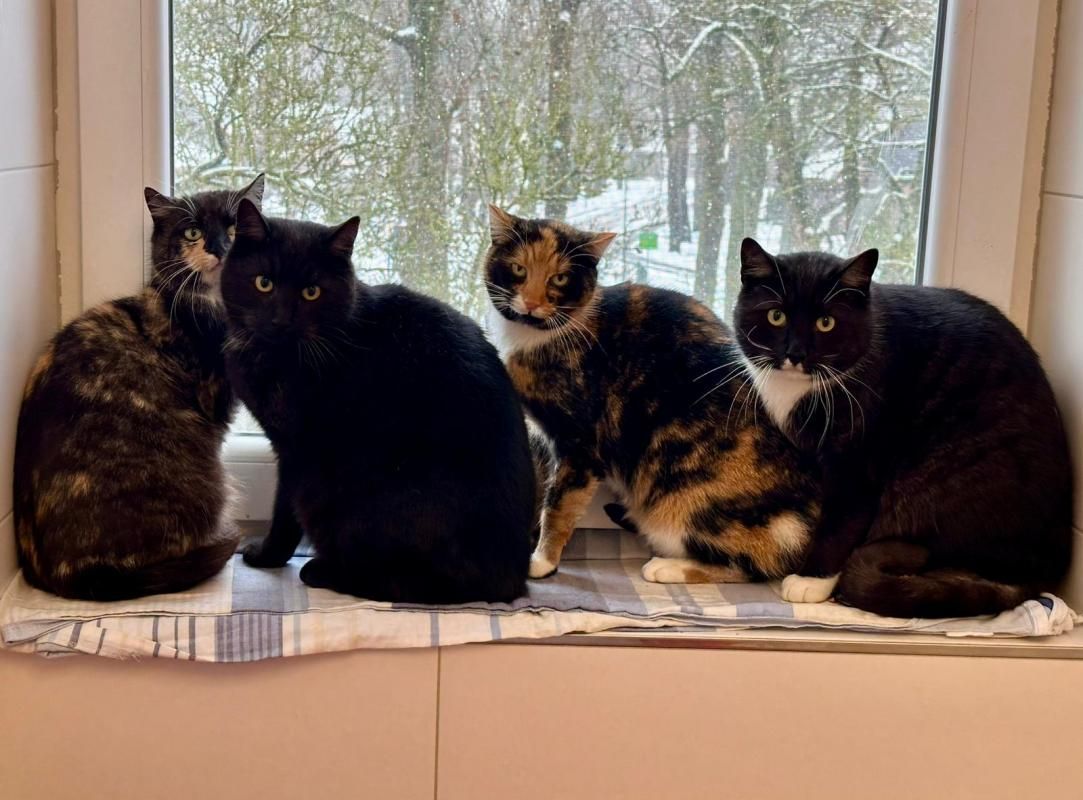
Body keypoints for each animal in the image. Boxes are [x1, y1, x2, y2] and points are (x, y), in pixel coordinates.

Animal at [222, 199, 534, 603]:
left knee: (404, 581)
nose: (281, 321)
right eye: (264, 283)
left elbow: (283, 511)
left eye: (311, 292)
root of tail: (512, 579)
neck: (276, 357)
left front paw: (267, 555)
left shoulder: (295, 449)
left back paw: (322, 571)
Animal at [484, 206, 820, 584]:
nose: (531, 302)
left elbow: (559, 504)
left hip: (683, 501)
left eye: (559, 279)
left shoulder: (580, 444)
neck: (537, 336)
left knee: (754, 566)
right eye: (518, 269)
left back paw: (666, 567)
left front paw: (542, 561)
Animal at [734, 238, 1074, 617]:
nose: (796, 353)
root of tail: (1043, 572)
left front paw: (812, 580)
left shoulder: (858, 460)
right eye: (776, 316)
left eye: (826, 322)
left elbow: (842, 519)